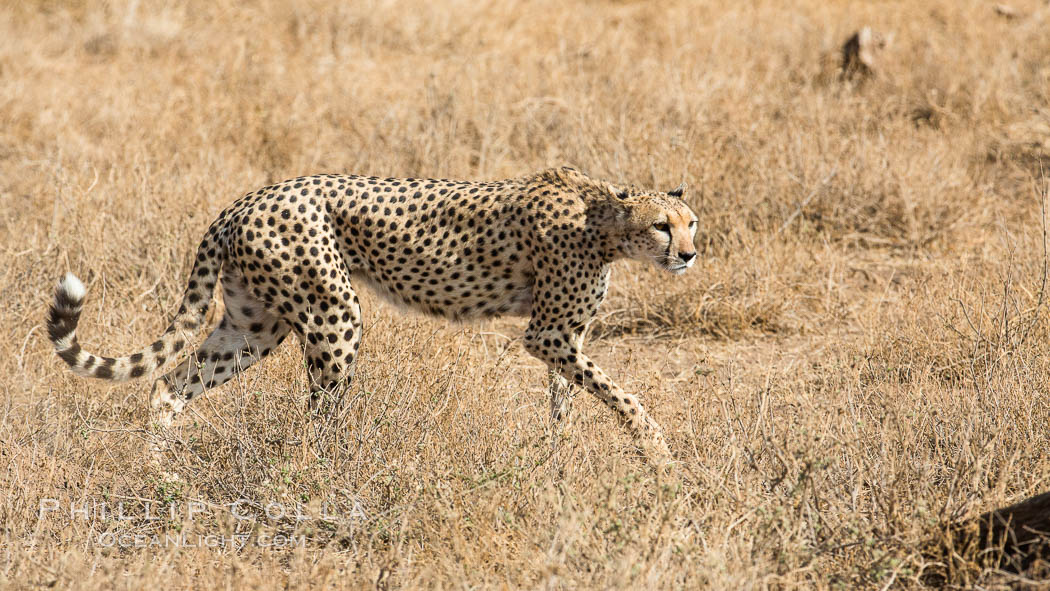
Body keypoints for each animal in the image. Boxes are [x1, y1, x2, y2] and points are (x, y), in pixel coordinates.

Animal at [47, 166, 697, 461]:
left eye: (692, 223)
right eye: (661, 226)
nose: (690, 254)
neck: (603, 223)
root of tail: (245, 200)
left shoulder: (565, 335)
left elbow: (567, 398)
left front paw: (556, 458)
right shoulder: (547, 333)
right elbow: (623, 394)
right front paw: (657, 451)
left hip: (253, 325)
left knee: (170, 383)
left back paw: (162, 466)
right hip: (333, 313)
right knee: (319, 414)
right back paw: (337, 470)